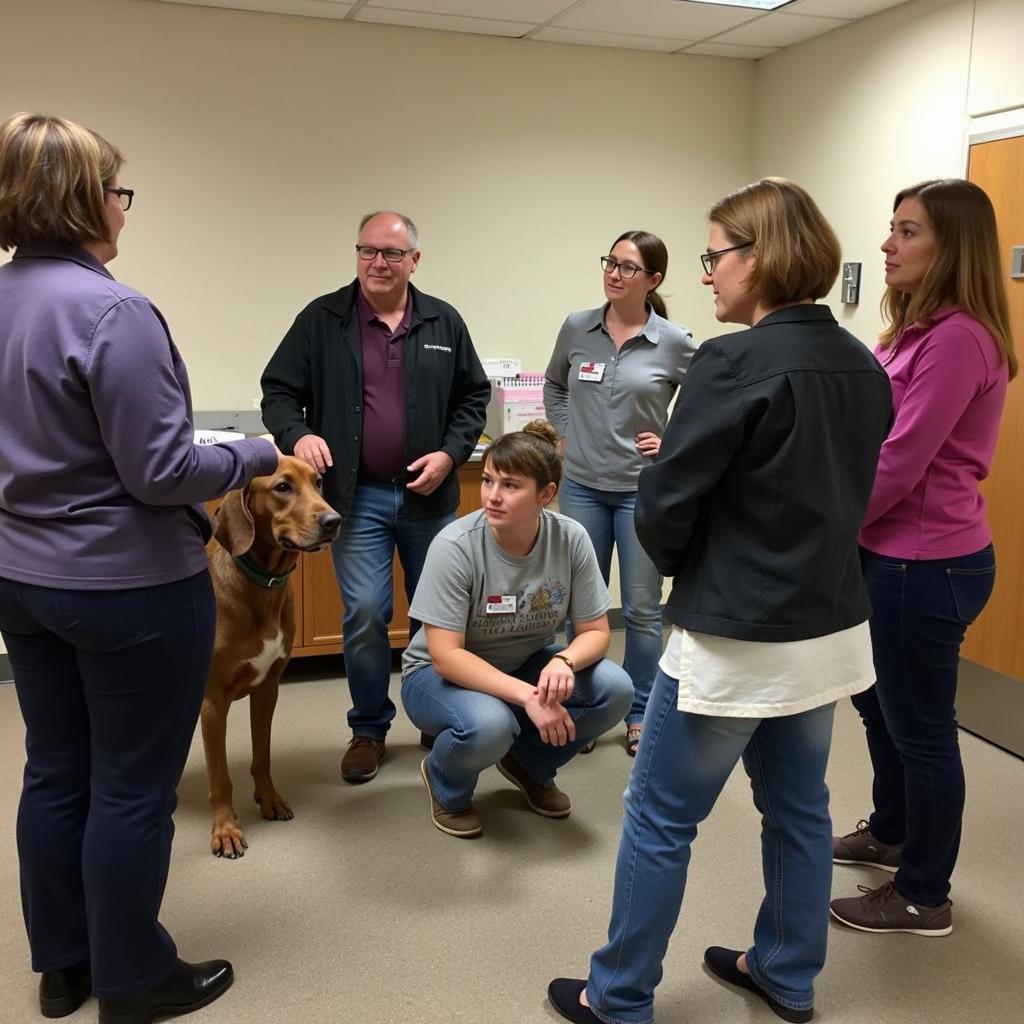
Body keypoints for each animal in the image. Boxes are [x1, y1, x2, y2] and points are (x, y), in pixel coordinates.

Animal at [201, 456, 342, 856]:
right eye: (282, 487)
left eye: (318, 481)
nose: (334, 521)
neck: (261, 585)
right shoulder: (212, 703)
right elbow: (220, 776)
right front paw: (226, 829)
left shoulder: (267, 689)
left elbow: (261, 756)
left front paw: (269, 799)